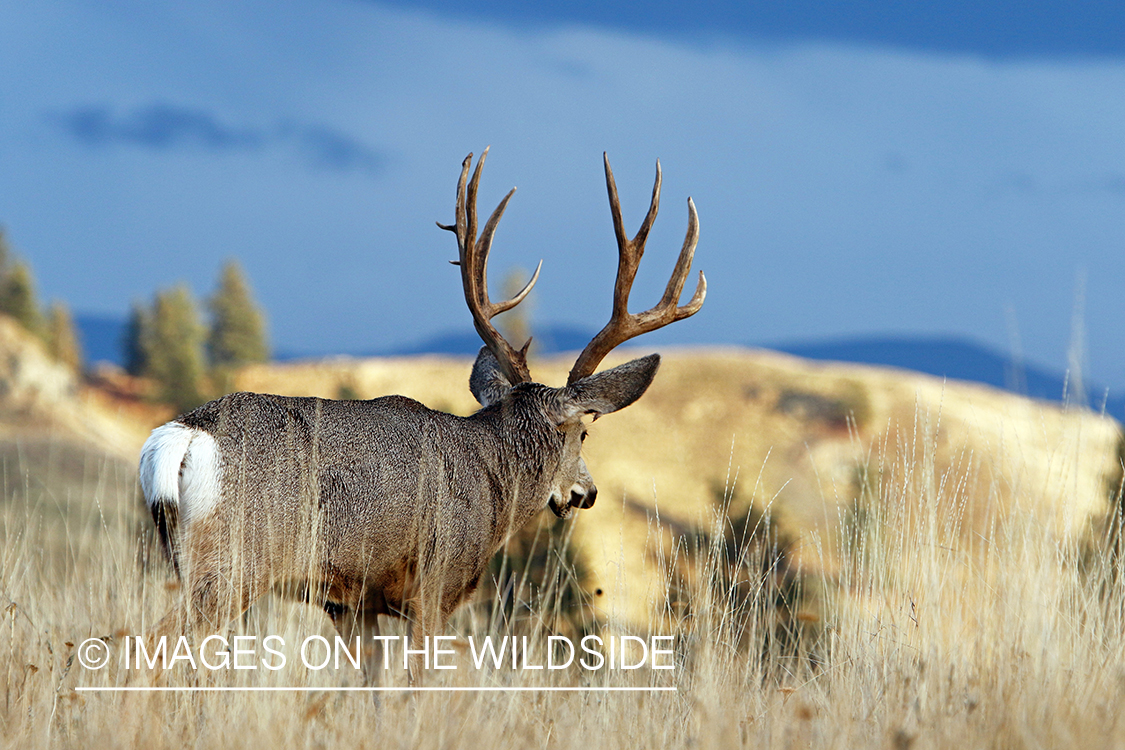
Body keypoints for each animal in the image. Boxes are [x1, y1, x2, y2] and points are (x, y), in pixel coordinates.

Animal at [139, 148, 705, 677]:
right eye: (583, 433)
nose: (587, 493)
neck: (492, 476)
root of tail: (188, 432)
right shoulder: (436, 582)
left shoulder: (353, 602)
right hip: (235, 560)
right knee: (154, 643)